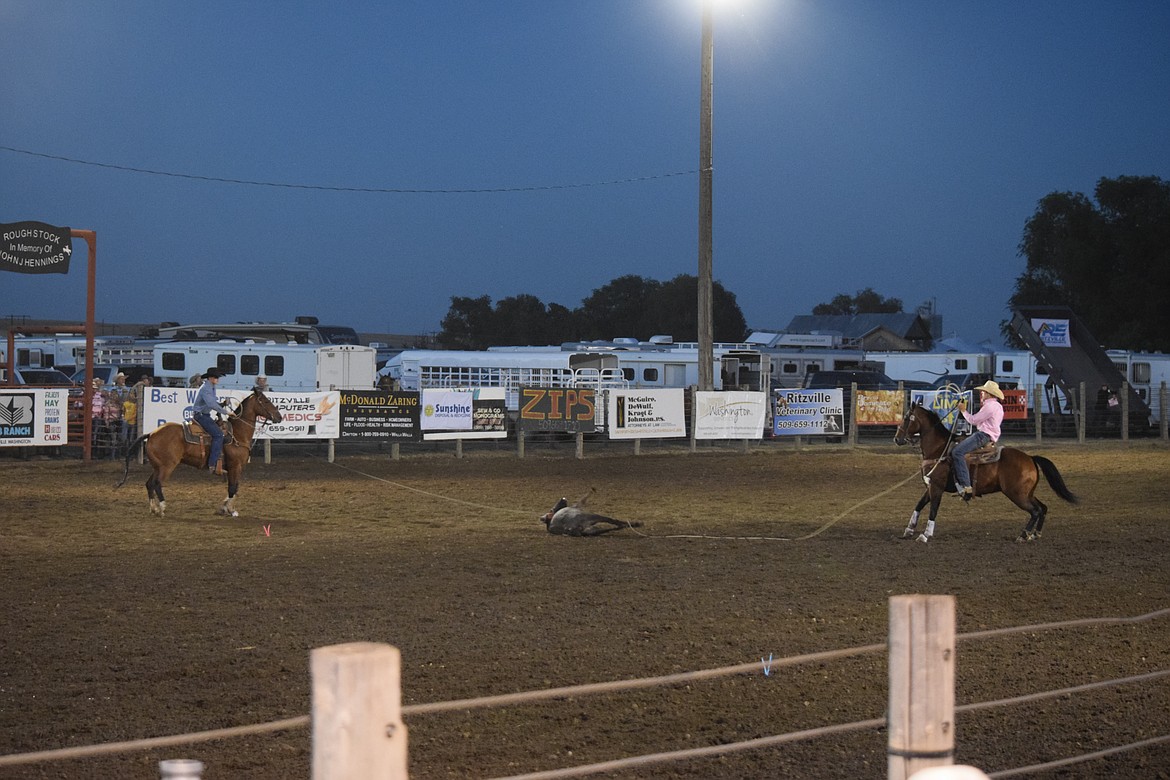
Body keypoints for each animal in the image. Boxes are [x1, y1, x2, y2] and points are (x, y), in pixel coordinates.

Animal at [115, 390, 284, 519]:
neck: (237, 432)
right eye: (265, 401)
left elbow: (234, 488)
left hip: (157, 466)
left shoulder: (235, 468)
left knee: (149, 484)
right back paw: (162, 508)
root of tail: (151, 433)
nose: (279, 417)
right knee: (157, 484)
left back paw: (154, 509)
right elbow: (233, 488)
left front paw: (225, 508)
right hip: (167, 466)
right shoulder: (235, 466)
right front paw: (229, 509)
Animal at [893, 402, 1076, 542]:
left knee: (1035, 511)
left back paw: (1023, 535)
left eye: (906, 418)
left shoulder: (937, 486)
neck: (938, 449)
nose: (896, 439)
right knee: (1042, 508)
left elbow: (933, 509)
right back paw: (1035, 534)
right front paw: (909, 530)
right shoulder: (930, 486)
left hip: (1017, 494)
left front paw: (925, 535)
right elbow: (919, 505)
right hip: (1027, 493)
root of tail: (1030, 458)